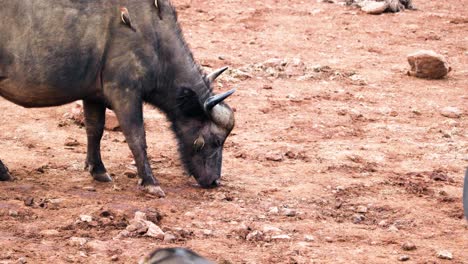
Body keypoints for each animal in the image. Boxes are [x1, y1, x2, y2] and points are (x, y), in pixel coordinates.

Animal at [0, 0, 236, 196]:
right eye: (216, 141)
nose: (214, 181)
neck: (154, 37)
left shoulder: (93, 96)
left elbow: (95, 130)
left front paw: (98, 170)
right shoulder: (125, 93)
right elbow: (136, 137)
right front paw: (150, 182)